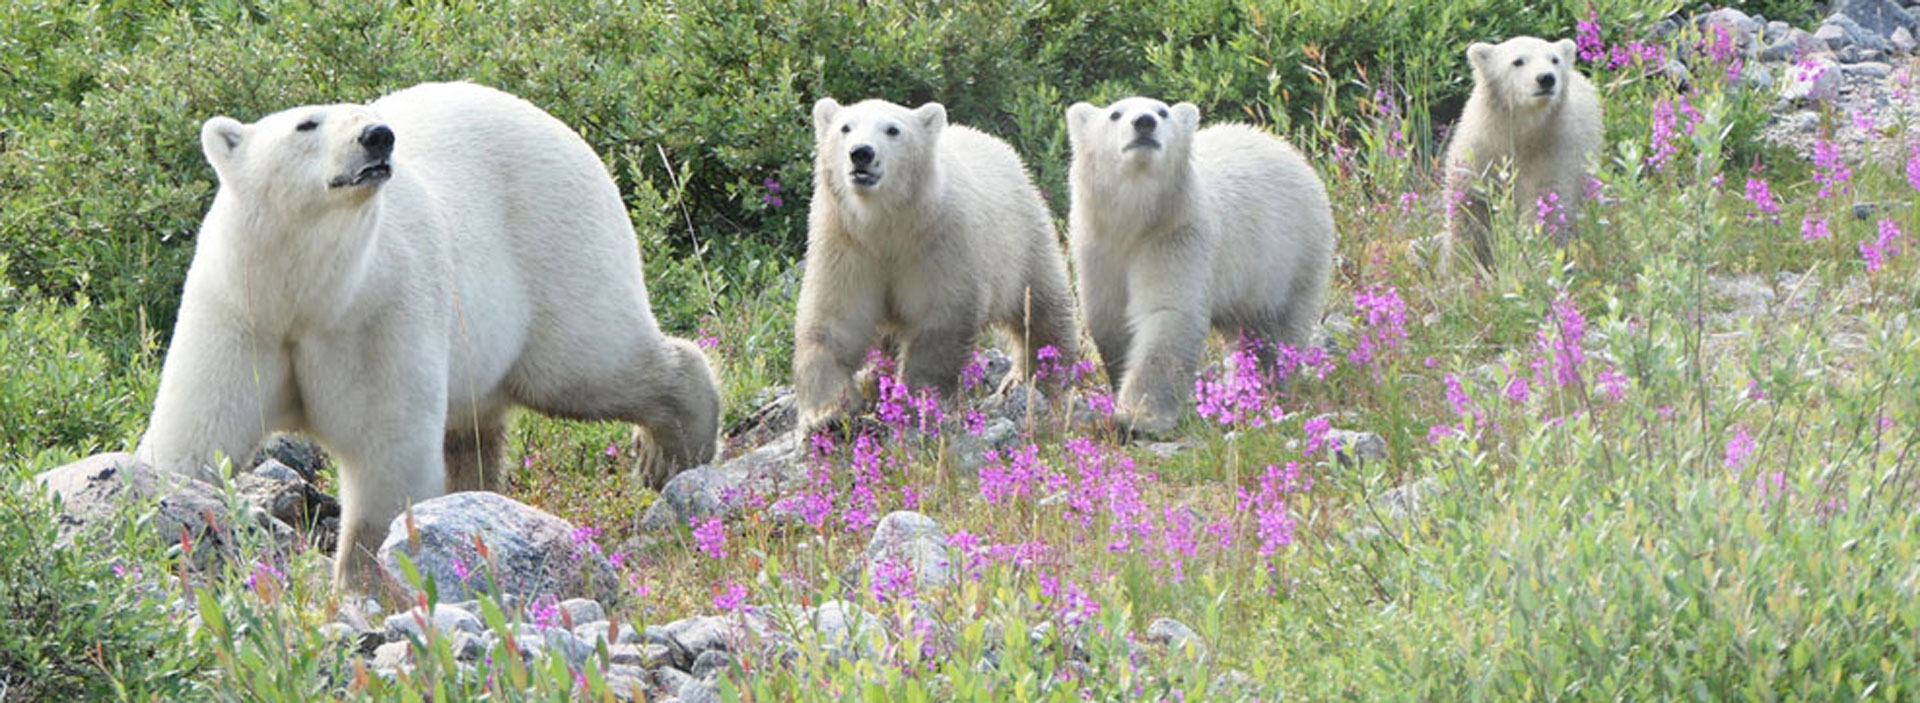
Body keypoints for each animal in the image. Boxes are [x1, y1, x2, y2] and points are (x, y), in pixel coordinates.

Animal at [135, 82, 722, 592]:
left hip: (555, 248)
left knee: (587, 362)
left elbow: (385, 449)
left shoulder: (377, 314)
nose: (378, 136)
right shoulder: (238, 317)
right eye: (306, 124)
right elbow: (196, 434)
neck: (307, 298)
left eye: (366, 113)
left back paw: (669, 453)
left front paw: (364, 583)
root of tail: (564, 130)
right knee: (476, 428)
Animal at [793, 98, 1077, 438]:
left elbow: (939, 320)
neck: (884, 225)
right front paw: (828, 414)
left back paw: (1043, 375)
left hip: (1024, 236)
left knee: (1040, 307)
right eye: (845, 127)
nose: (861, 152)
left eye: (893, 129)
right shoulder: (846, 246)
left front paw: (918, 402)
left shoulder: (939, 242)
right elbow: (833, 322)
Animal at [1065, 97, 1335, 437]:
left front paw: (1138, 417)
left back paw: (1270, 386)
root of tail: (1287, 148)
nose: (1144, 122)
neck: (1136, 220)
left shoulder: (1177, 235)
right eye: (1115, 114)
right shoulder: (1097, 248)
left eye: (1162, 111)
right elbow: (1109, 318)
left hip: (1294, 254)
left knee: (1282, 328)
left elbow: (1169, 314)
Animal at [1443, 35, 1603, 266]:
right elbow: (1469, 208)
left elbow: (1543, 207)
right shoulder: (1478, 152)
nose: (1546, 78)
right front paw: (1463, 263)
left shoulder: (1551, 152)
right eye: (1517, 61)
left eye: (1554, 59)